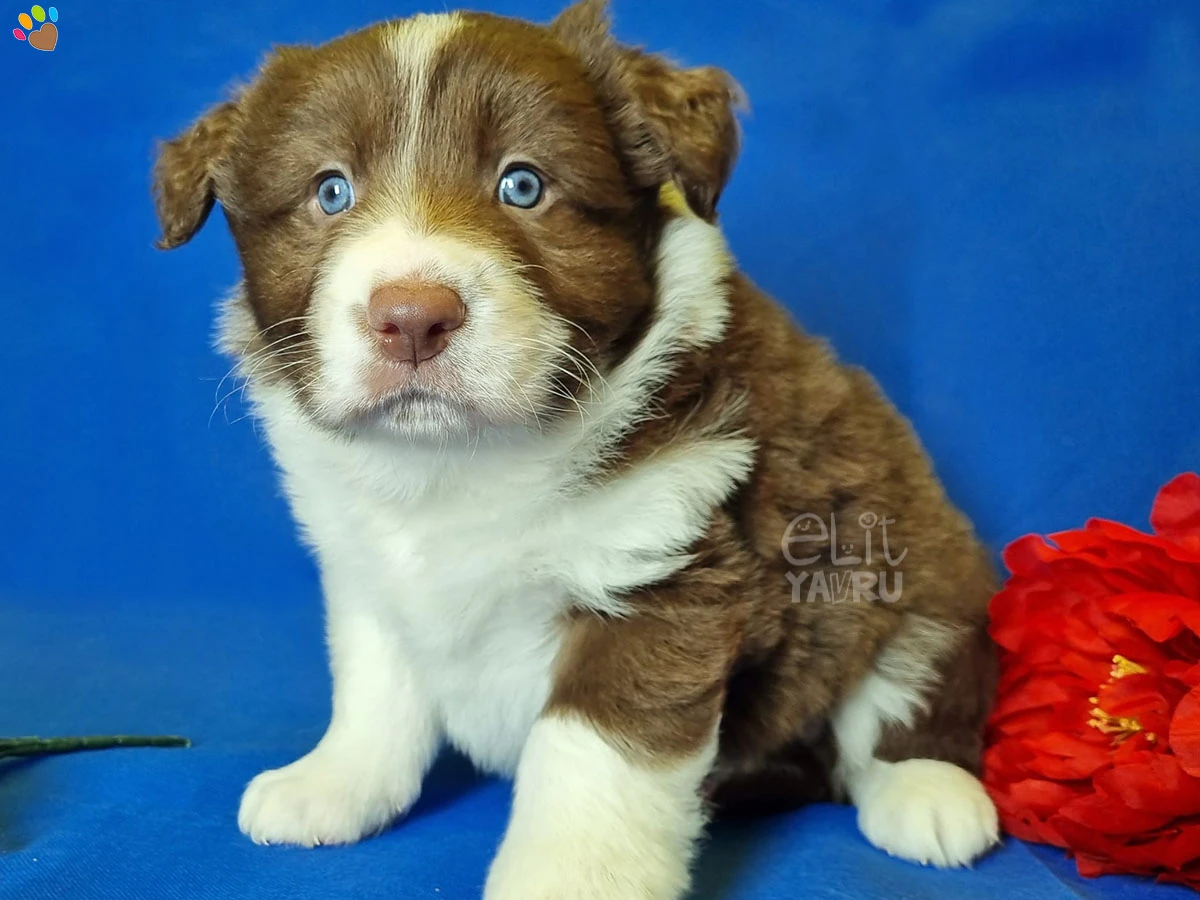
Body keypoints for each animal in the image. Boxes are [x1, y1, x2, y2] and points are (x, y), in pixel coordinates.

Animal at [157, 3, 1003, 897]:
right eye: (329, 191)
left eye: (523, 185)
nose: (412, 317)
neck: (461, 462)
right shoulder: (365, 564)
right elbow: (375, 686)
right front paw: (335, 783)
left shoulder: (667, 571)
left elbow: (594, 756)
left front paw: (566, 878)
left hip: (917, 561)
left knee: (905, 687)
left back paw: (929, 793)